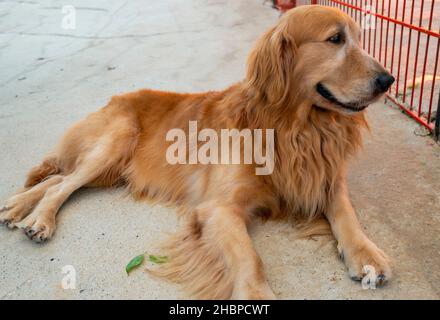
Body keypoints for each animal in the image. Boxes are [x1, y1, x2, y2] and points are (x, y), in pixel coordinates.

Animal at [0, 5, 396, 300]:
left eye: (359, 38)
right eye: (335, 39)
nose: (387, 80)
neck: (297, 128)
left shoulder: (326, 178)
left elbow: (347, 215)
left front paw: (367, 254)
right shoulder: (218, 208)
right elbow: (251, 260)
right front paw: (255, 293)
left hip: (111, 170)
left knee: (59, 176)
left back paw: (17, 207)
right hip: (115, 143)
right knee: (60, 183)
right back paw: (38, 219)